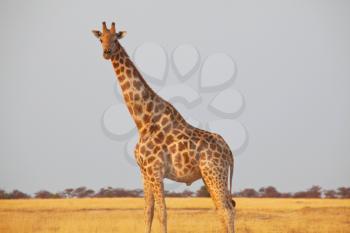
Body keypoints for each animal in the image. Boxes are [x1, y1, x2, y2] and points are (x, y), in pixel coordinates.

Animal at [91, 21, 237, 231]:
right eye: (100, 39)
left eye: (115, 38)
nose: (106, 52)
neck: (143, 122)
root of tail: (229, 151)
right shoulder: (144, 172)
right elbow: (148, 212)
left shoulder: (156, 170)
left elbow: (162, 212)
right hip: (209, 176)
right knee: (222, 209)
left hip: (215, 173)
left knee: (227, 209)